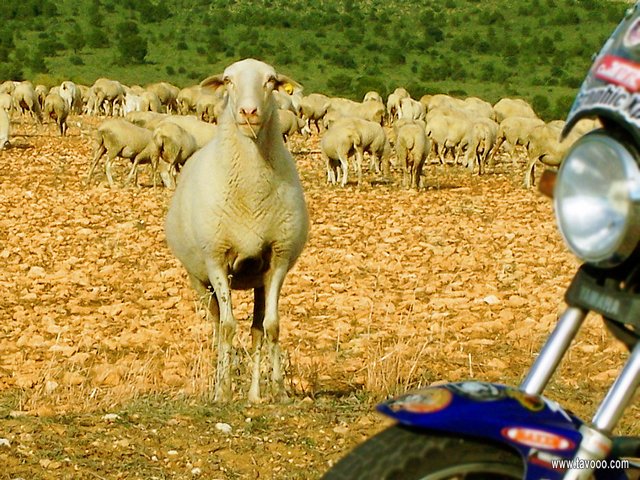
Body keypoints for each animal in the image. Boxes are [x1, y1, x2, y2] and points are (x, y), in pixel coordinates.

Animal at [165, 60, 310, 404]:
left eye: (270, 81)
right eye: (228, 80)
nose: (248, 111)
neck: (252, 191)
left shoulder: (278, 260)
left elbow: (271, 326)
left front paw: (279, 391)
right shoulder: (216, 260)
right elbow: (229, 327)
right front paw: (224, 391)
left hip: (257, 280)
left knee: (256, 329)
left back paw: (255, 394)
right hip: (200, 281)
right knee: (218, 327)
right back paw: (221, 384)